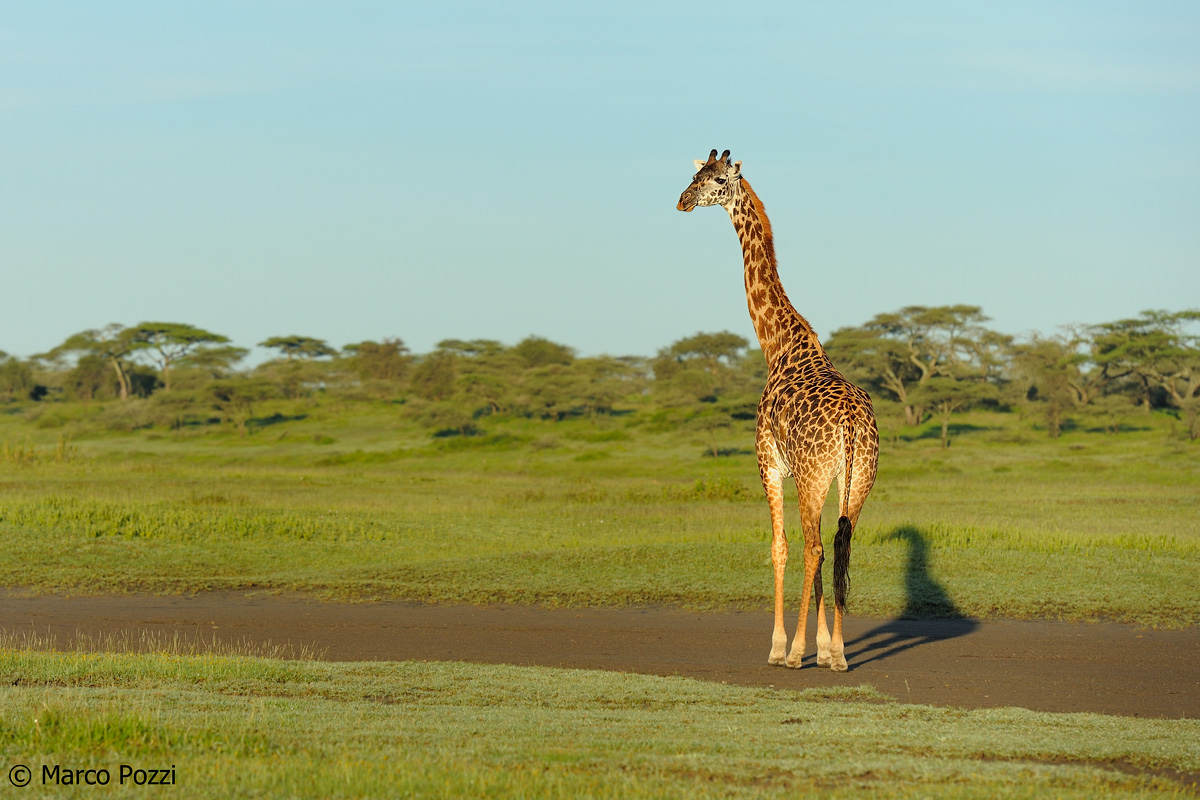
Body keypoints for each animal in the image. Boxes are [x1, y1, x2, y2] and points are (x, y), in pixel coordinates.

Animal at [677, 149, 879, 672]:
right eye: (695, 175)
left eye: (718, 181)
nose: (683, 201)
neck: (777, 345)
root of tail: (853, 427)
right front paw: (825, 648)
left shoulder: (769, 463)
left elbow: (778, 547)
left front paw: (780, 645)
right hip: (856, 478)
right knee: (840, 543)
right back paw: (840, 655)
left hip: (812, 475)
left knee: (813, 547)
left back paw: (794, 654)